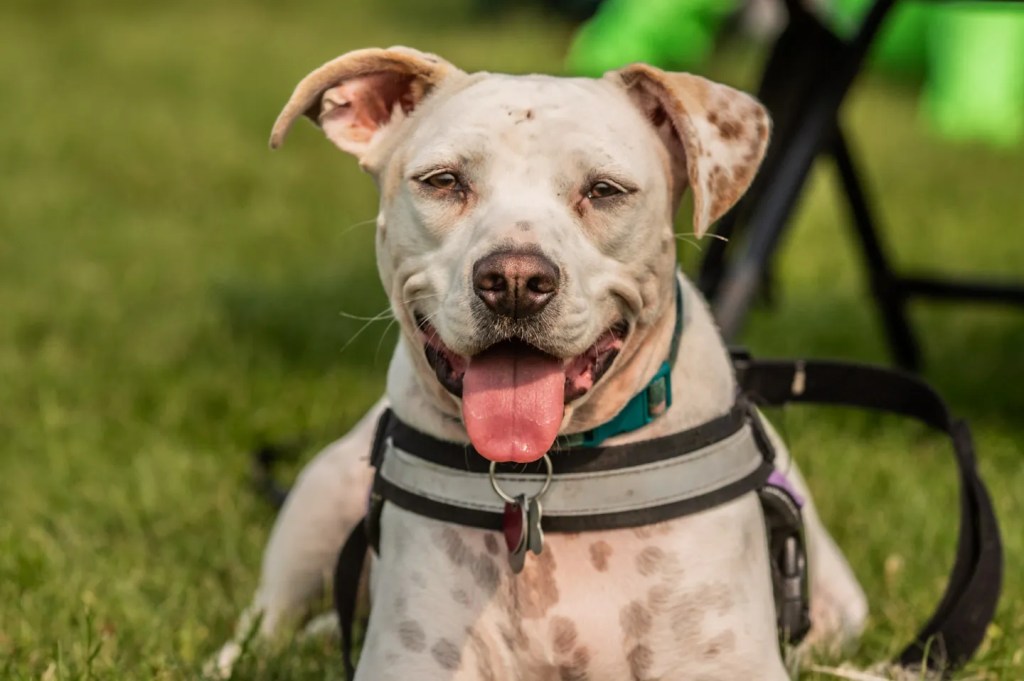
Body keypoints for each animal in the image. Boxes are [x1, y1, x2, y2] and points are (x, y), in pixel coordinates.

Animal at [215, 47, 868, 680]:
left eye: (604, 190)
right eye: (444, 181)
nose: (513, 281)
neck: (543, 481)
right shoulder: (411, 661)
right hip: (320, 502)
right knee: (265, 622)